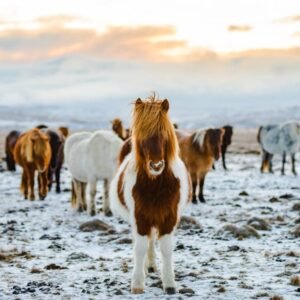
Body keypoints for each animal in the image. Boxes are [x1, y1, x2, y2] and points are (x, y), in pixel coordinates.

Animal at [109, 97, 190, 294]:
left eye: (164, 134)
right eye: (142, 136)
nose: (156, 165)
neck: (155, 185)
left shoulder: (168, 217)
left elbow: (166, 249)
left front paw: (169, 283)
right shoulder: (140, 217)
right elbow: (139, 248)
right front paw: (138, 283)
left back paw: (152, 265)